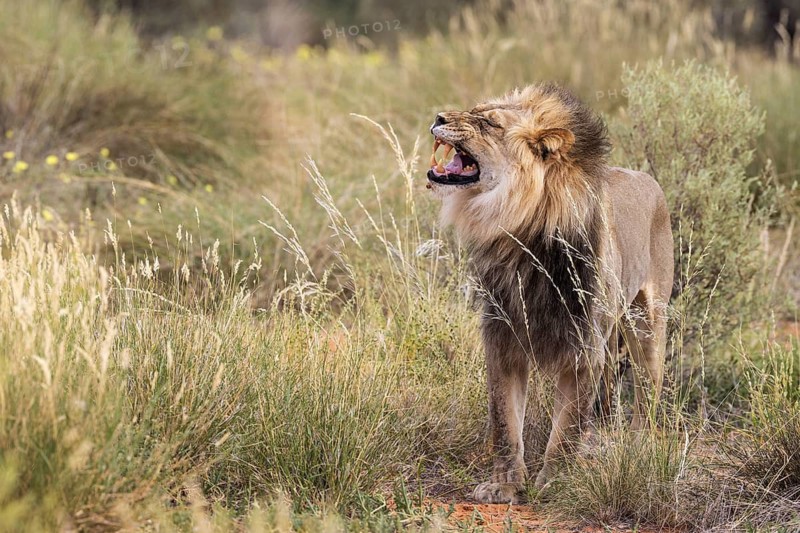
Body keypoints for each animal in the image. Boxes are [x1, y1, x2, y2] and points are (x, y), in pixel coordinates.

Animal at [426, 83, 673, 504]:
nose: (438, 117)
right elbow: (505, 423)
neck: (520, 232)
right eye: (477, 110)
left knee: (646, 396)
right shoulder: (502, 339)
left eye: (490, 123)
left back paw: (639, 448)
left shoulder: (583, 351)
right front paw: (505, 484)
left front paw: (554, 482)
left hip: (648, 328)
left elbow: (566, 427)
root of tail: (648, 178)